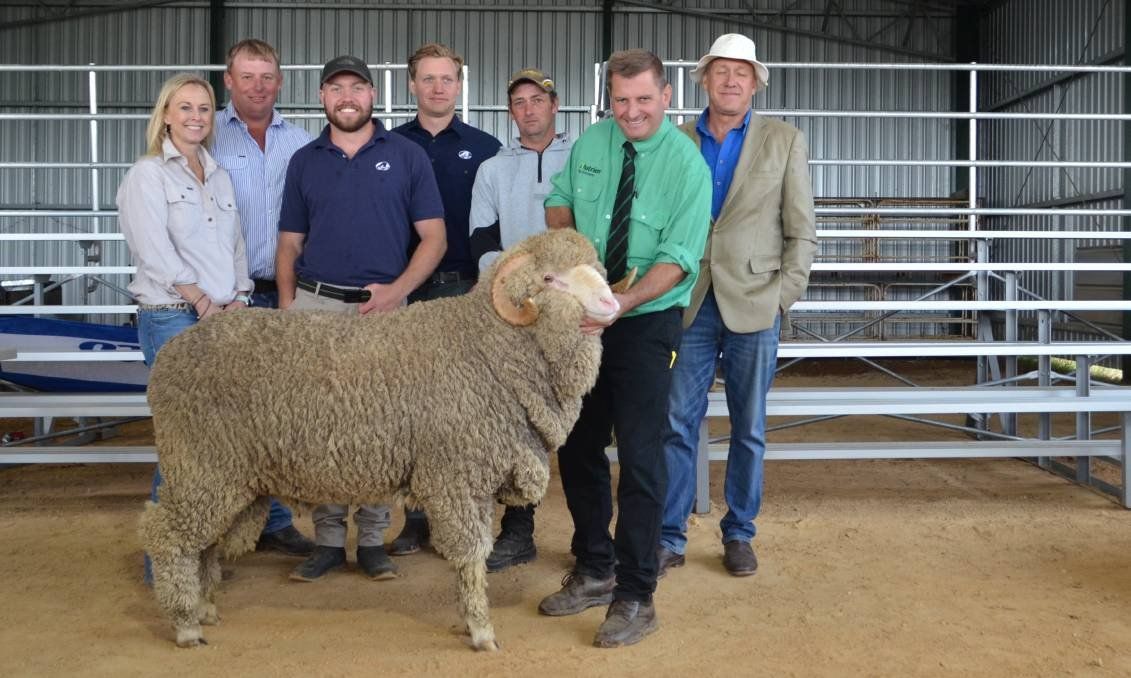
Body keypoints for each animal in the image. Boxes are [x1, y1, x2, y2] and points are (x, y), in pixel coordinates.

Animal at [139, 229, 618, 652]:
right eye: (550, 278)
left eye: (595, 267)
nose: (612, 303)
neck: (485, 344)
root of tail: (170, 355)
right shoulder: (455, 477)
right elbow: (470, 555)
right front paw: (481, 630)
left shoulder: (474, 477)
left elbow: (477, 553)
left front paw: (473, 620)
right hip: (201, 466)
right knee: (167, 535)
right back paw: (185, 625)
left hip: (231, 480)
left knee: (204, 545)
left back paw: (204, 607)